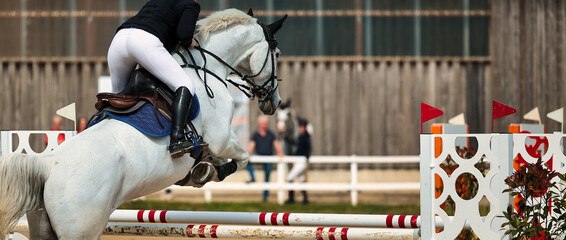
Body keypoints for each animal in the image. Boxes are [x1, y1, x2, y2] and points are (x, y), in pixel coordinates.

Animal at [0, 8, 288, 239]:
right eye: (277, 53)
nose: (274, 102)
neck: (208, 68)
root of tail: (46, 165)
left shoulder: (218, 142)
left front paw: (200, 169)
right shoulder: (222, 138)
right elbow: (243, 158)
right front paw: (206, 171)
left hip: (45, 226)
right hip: (82, 227)